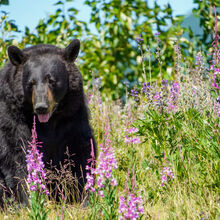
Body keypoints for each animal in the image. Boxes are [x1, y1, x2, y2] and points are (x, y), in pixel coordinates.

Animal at [0, 38, 96, 205]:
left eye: (51, 80)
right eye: (30, 83)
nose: (41, 107)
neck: (49, 121)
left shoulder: (73, 114)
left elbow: (81, 149)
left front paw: (84, 196)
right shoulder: (12, 114)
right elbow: (17, 152)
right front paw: (29, 197)